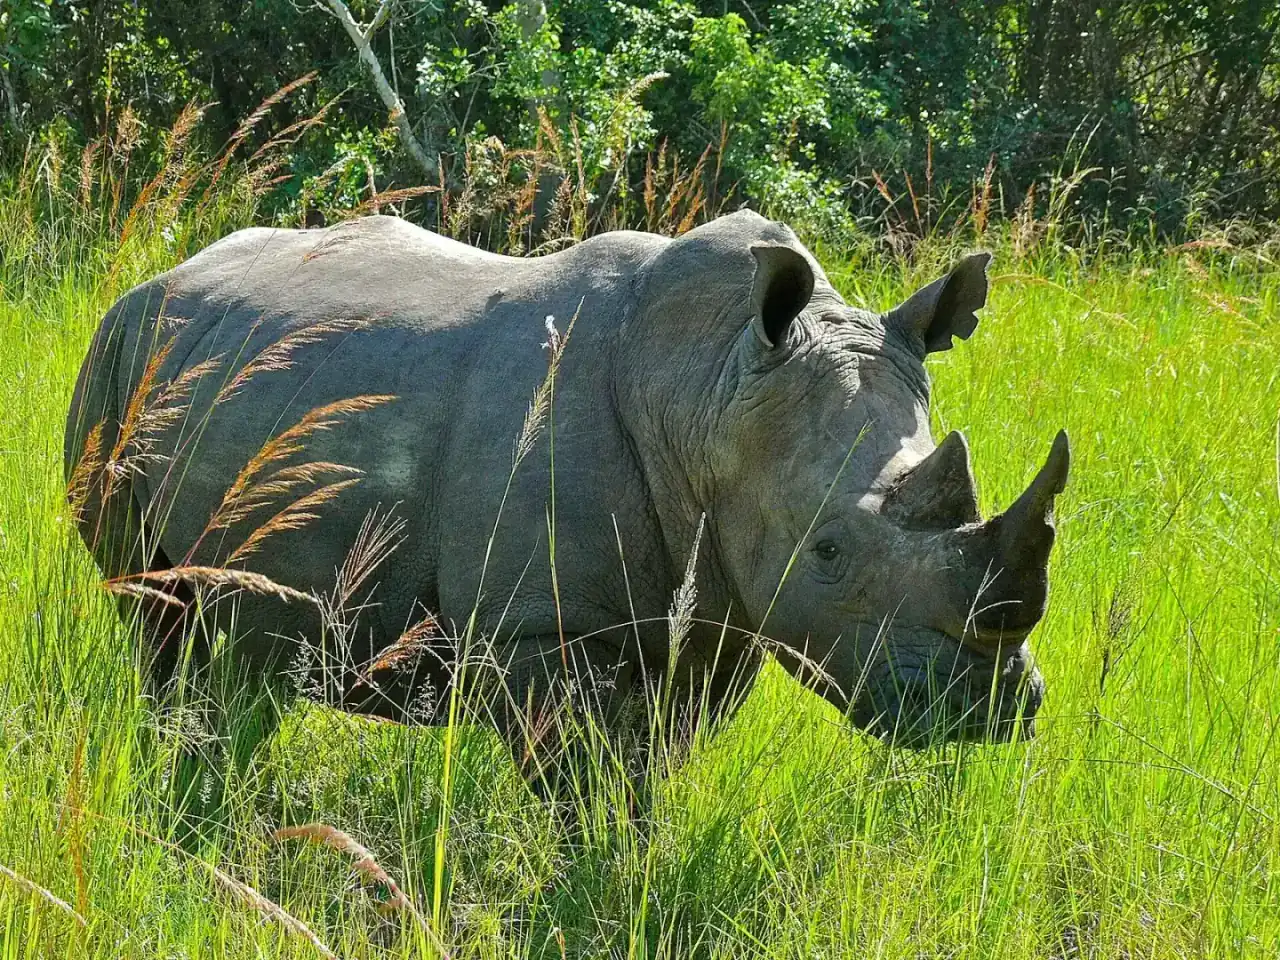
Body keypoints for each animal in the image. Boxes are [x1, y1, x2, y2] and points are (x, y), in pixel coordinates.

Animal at [66, 210, 1068, 798]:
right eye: (827, 553)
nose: (987, 709)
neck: (708, 389)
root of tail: (169, 271)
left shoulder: (723, 616)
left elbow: (654, 772)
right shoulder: (538, 628)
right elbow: (579, 787)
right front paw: (590, 879)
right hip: (116, 359)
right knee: (155, 619)